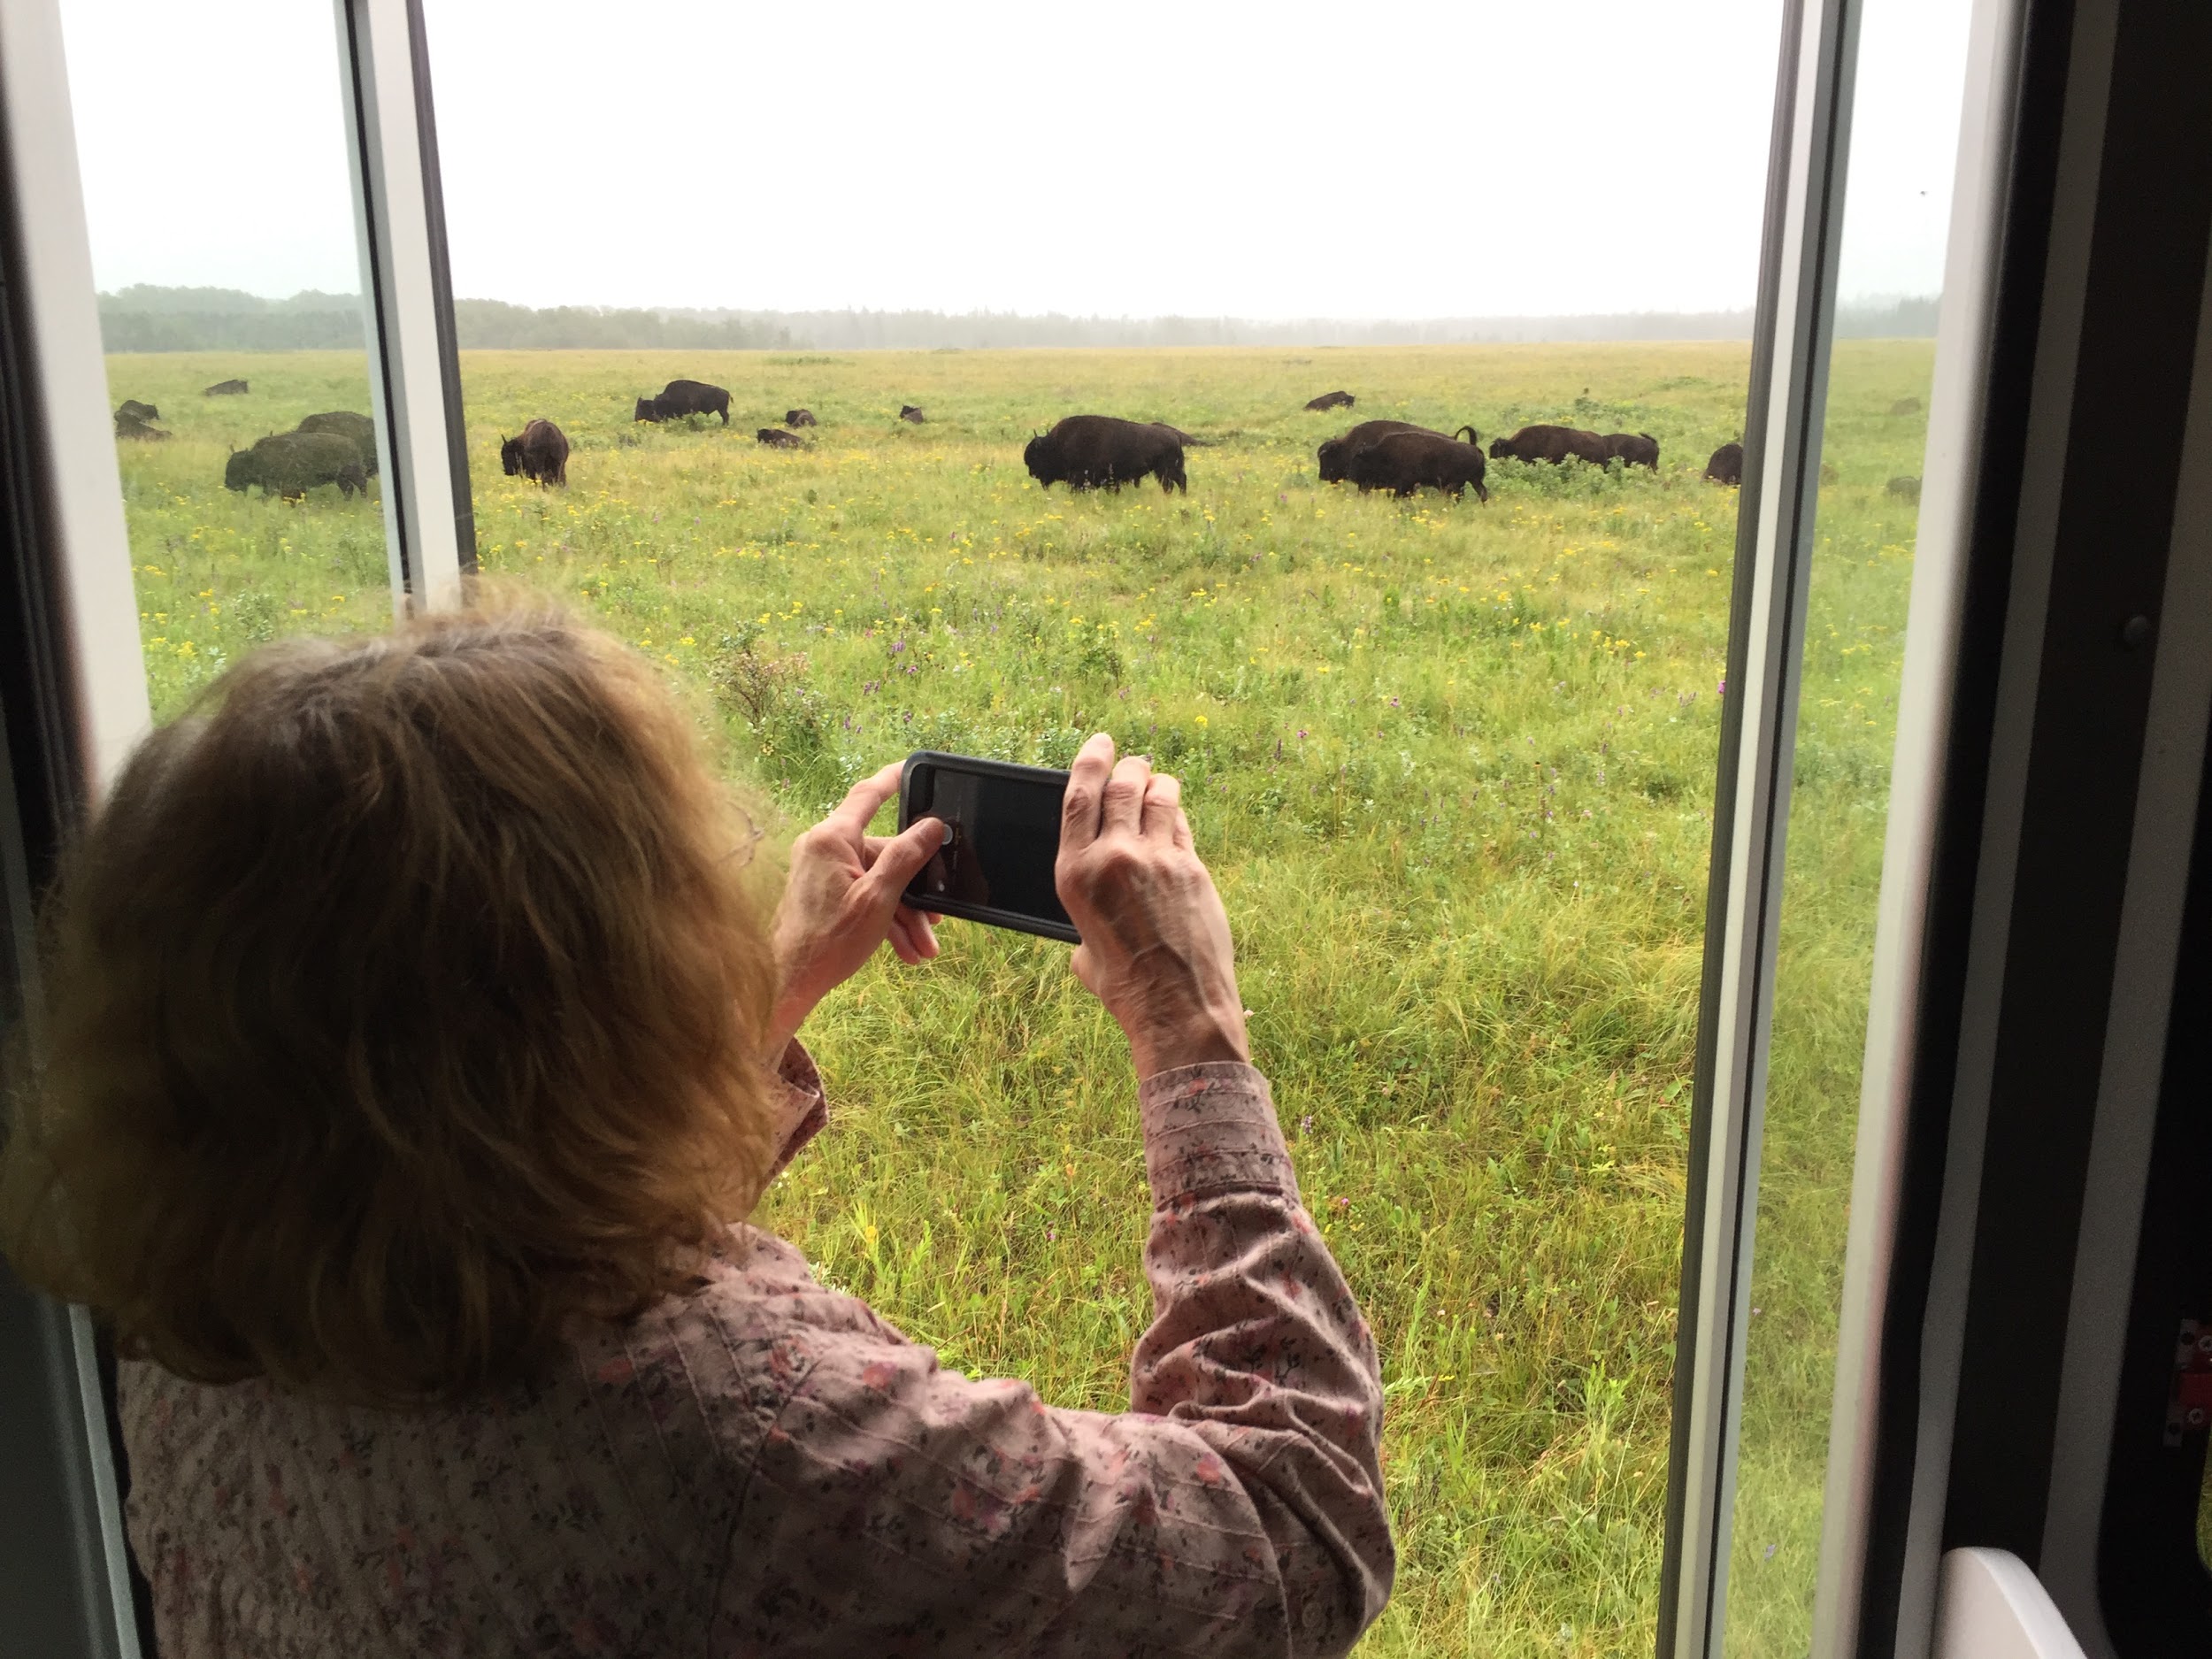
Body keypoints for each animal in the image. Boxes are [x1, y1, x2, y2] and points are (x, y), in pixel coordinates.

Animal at [221, 429, 367, 500]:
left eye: (238, 466)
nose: (228, 484)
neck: (256, 458)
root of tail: (353, 444)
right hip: (340, 479)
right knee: (349, 489)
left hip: (352, 475)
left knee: (361, 485)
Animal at [1022, 416, 1186, 493]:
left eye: (1036, 457)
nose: (1032, 473)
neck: (1056, 445)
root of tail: (1174, 435)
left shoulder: (1079, 477)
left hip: (1165, 470)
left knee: (1174, 483)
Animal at [1345, 431, 1486, 504]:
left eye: (1358, 461)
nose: (1352, 475)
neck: (1380, 454)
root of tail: (1475, 449)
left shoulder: (1404, 484)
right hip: (1473, 481)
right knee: (1481, 492)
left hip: (1460, 483)